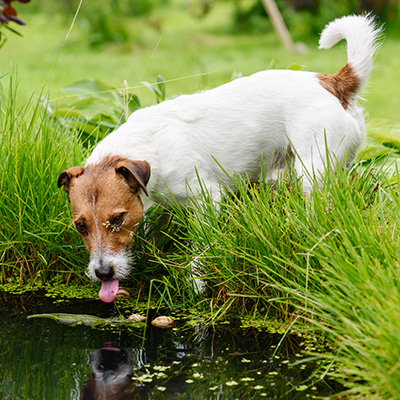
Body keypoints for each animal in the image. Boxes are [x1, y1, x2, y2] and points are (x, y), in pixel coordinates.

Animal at [57, 15, 382, 304]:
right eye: (81, 226)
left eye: (117, 219)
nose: (102, 273)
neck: (145, 147)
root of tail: (333, 81)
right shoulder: (154, 206)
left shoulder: (206, 198)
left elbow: (200, 245)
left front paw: (197, 282)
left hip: (312, 172)